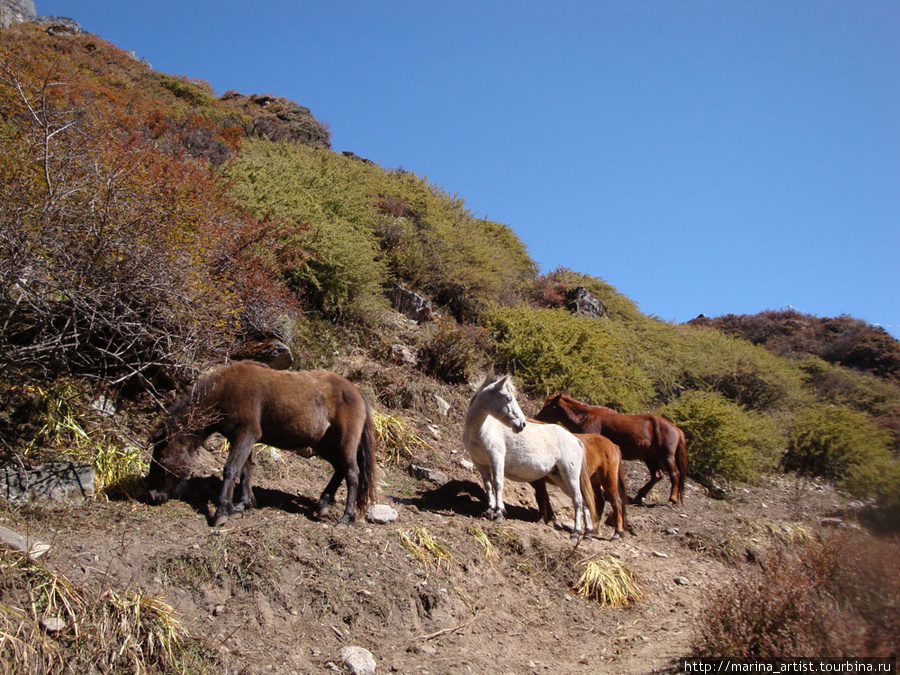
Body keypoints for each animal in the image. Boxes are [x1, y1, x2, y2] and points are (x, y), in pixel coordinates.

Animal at [147, 362, 376, 532]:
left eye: (161, 458)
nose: (152, 495)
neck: (227, 390)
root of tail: (356, 391)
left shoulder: (246, 435)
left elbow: (231, 469)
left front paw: (222, 512)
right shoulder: (241, 438)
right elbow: (245, 471)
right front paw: (243, 505)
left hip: (345, 442)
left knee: (352, 474)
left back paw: (346, 517)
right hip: (324, 445)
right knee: (339, 469)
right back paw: (323, 504)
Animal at [464, 374, 596, 540]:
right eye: (508, 398)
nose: (522, 424)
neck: (481, 430)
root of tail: (576, 440)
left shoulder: (496, 458)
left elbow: (498, 484)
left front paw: (498, 513)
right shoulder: (480, 463)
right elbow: (488, 485)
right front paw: (489, 510)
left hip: (570, 475)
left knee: (577, 500)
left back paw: (576, 532)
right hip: (560, 478)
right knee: (582, 501)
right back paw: (587, 533)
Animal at [536, 394, 688, 504]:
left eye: (548, 406)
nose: (537, 418)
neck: (585, 416)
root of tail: (677, 430)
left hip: (667, 456)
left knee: (675, 474)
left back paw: (672, 499)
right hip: (650, 457)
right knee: (657, 475)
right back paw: (639, 496)